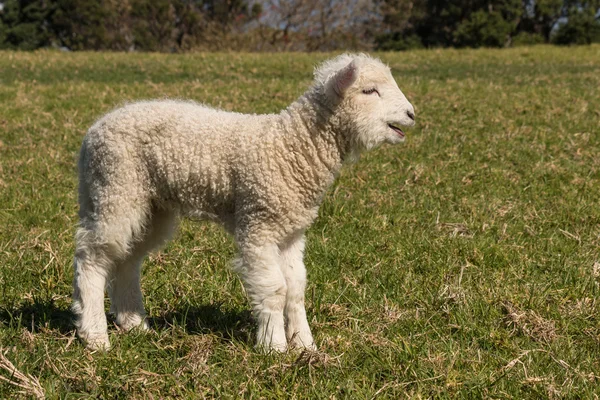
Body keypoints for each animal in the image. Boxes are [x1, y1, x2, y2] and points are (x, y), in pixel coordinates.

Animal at [72, 54, 414, 354]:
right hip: (115, 188)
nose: (411, 114)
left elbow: (296, 288)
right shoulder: (258, 223)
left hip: (150, 205)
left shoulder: (291, 231)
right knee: (92, 258)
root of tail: (92, 132)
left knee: (127, 260)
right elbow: (274, 289)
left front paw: (305, 345)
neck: (293, 146)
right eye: (369, 91)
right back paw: (95, 336)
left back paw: (133, 324)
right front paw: (274, 347)